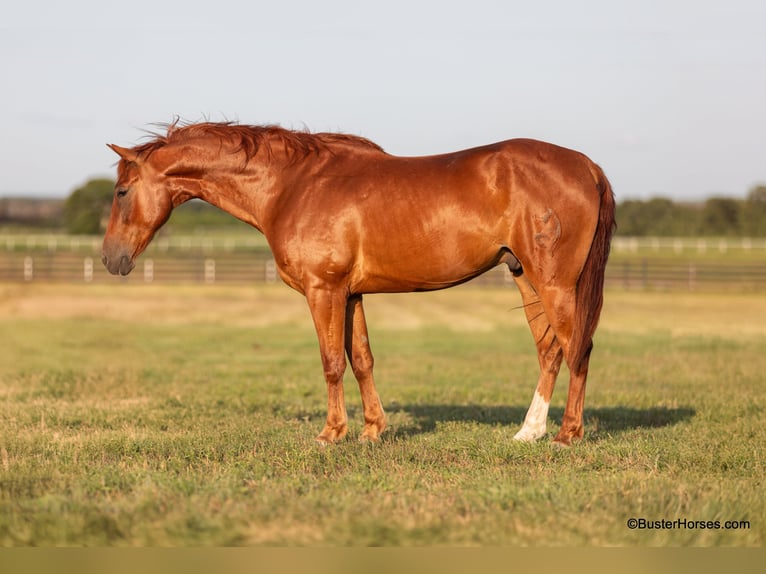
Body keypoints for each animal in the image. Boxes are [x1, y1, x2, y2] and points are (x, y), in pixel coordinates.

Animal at [103, 121, 616, 448]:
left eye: (122, 191)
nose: (111, 259)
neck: (293, 186)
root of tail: (587, 165)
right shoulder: (351, 294)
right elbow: (362, 359)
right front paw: (372, 430)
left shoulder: (324, 291)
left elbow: (332, 361)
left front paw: (331, 434)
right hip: (525, 277)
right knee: (550, 350)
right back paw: (529, 432)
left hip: (554, 283)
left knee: (578, 348)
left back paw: (567, 435)